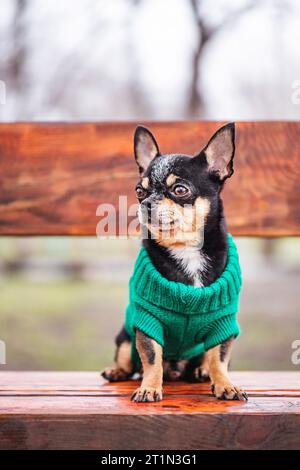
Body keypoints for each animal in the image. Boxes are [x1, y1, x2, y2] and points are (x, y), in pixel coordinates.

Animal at [102, 123, 247, 402]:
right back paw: (116, 371)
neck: (185, 249)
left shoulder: (223, 323)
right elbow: (151, 358)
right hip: (124, 337)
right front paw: (149, 387)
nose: (145, 204)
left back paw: (201, 371)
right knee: (127, 359)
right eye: (139, 191)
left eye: (180, 189)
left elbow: (219, 358)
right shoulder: (147, 321)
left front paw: (225, 384)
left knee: (205, 359)